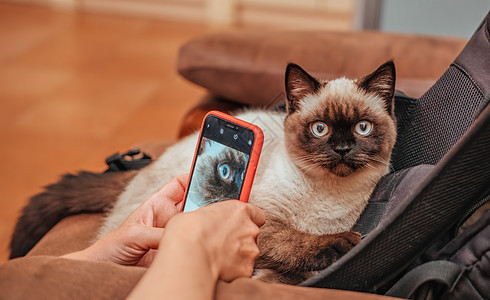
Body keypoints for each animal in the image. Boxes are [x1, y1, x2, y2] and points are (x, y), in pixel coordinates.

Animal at [97, 60, 396, 284]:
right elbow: (291, 241)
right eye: (320, 128)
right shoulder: (263, 224)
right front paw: (342, 244)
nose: (342, 149)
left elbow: (278, 277)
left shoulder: (293, 273)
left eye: (362, 127)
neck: (324, 193)